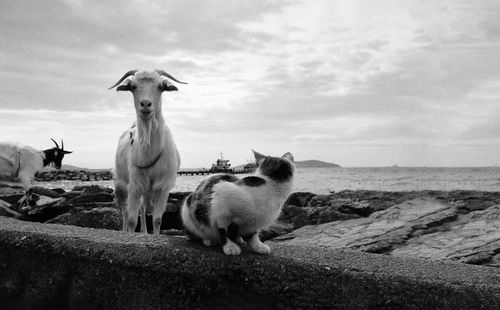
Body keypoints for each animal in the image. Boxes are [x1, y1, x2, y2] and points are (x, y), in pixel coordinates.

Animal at [111, 69, 186, 234]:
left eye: (161, 86)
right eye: (132, 86)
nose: (145, 104)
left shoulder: (163, 187)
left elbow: (157, 220)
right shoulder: (135, 185)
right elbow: (132, 220)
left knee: (143, 208)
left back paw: (145, 232)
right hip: (121, 183)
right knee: (125, 212)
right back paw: (124, 230)